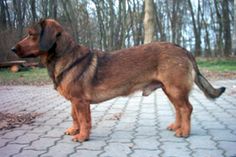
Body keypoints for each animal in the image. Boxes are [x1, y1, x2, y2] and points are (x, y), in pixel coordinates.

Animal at [11, 19, 225, 142]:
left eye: (31, 34)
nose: (13, 49)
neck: (65, 56)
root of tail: (183, 50)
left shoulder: (81, 102)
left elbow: (84, 120)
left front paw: (82, 136)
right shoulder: (74, 101)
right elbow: (75, 117)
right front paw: (74, 130)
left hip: (175, 89)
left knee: (186, 109)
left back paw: (184, 132)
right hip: (170, 89)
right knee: (180, 109)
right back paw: (177, 126)